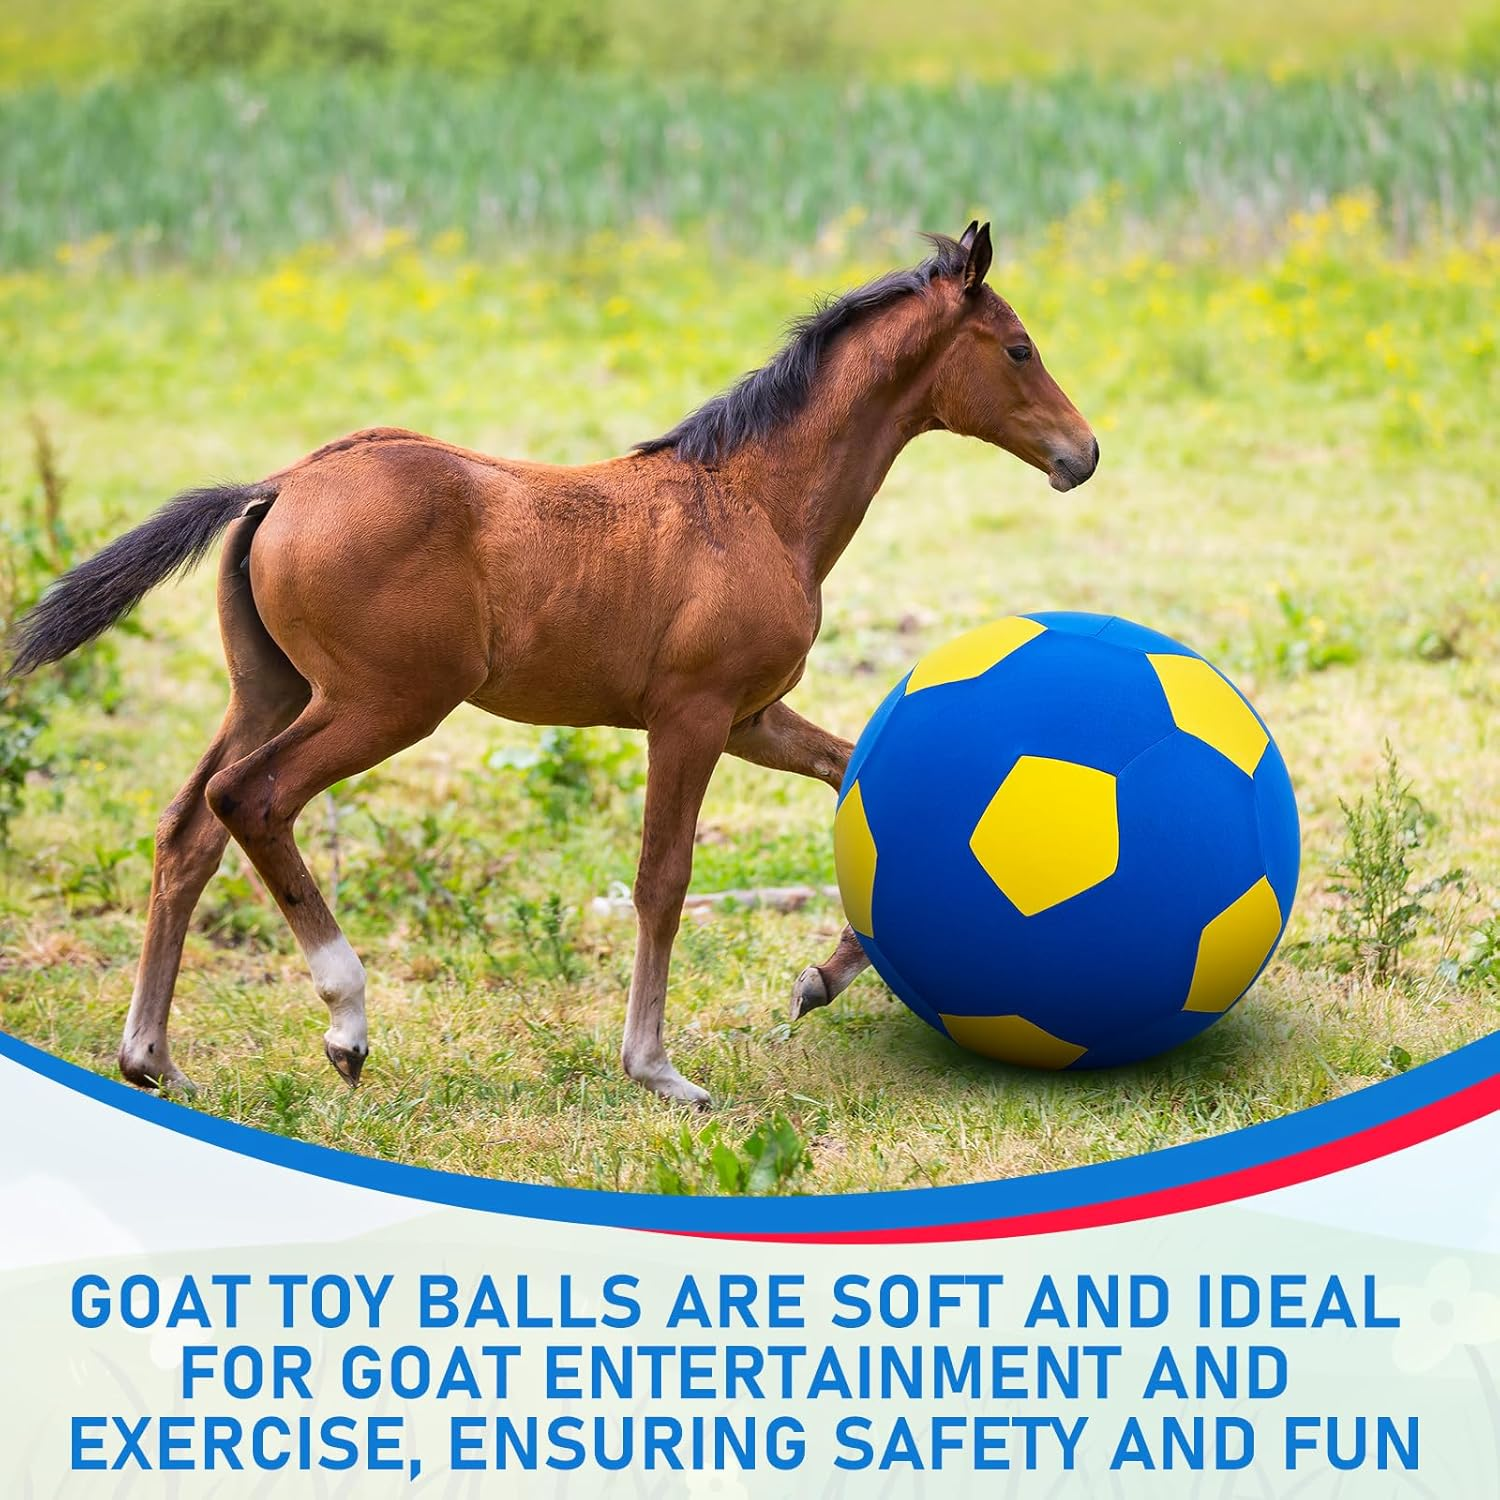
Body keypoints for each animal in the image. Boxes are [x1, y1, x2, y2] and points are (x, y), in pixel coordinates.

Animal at [9, 221, 1097, 1107]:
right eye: (1019, 348)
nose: (1081, 454)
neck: (753, 501)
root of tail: (280, 485)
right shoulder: (692, 716)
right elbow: (663, 877)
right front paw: (657, 1069)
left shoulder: (752, 717)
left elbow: (848, 780)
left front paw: (817, 982)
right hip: (383, 702)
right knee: (250, 798)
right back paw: (346, 1021)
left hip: (271, 690)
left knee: (186, 826)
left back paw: (151, 1058)